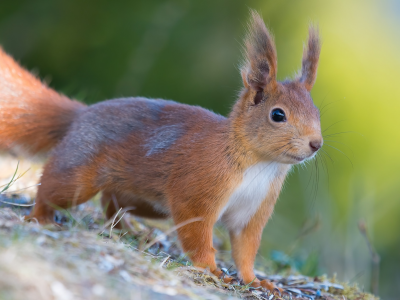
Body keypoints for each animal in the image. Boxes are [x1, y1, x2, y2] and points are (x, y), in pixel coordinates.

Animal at [0, 11, 322, 288]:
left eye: (317, 112)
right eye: (277, 115)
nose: (316, 144)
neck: (260, 164)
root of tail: (83, 113)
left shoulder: (253, 211)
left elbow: (245, 250)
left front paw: (256, 281)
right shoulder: (197, 191)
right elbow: (197, 235)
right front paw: (213, 270)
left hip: (146, 201)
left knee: (111, 201)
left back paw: (128, 230)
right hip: (80, 170)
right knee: (54, 187)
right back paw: (41, 217)